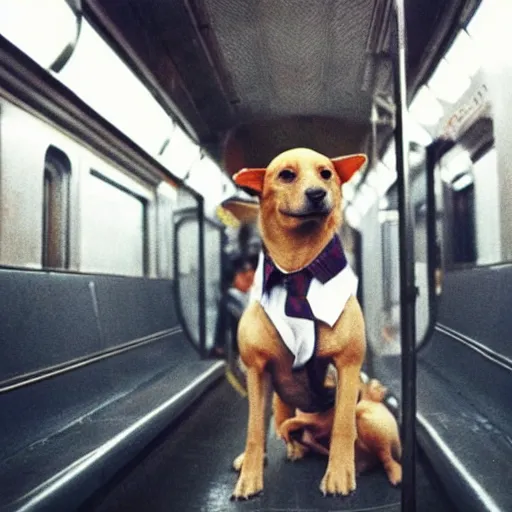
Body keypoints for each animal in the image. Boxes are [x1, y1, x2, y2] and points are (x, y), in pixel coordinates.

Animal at [232, 146, 368, 498]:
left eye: (326, 174)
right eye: (286, 175)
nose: (317, 193)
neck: (297, 271)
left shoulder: (347, 367)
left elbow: (343, 427)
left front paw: (339, 474)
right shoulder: (257, 371)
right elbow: (254, 431)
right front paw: (249, 477)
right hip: (277, 400)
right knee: (279, 427)